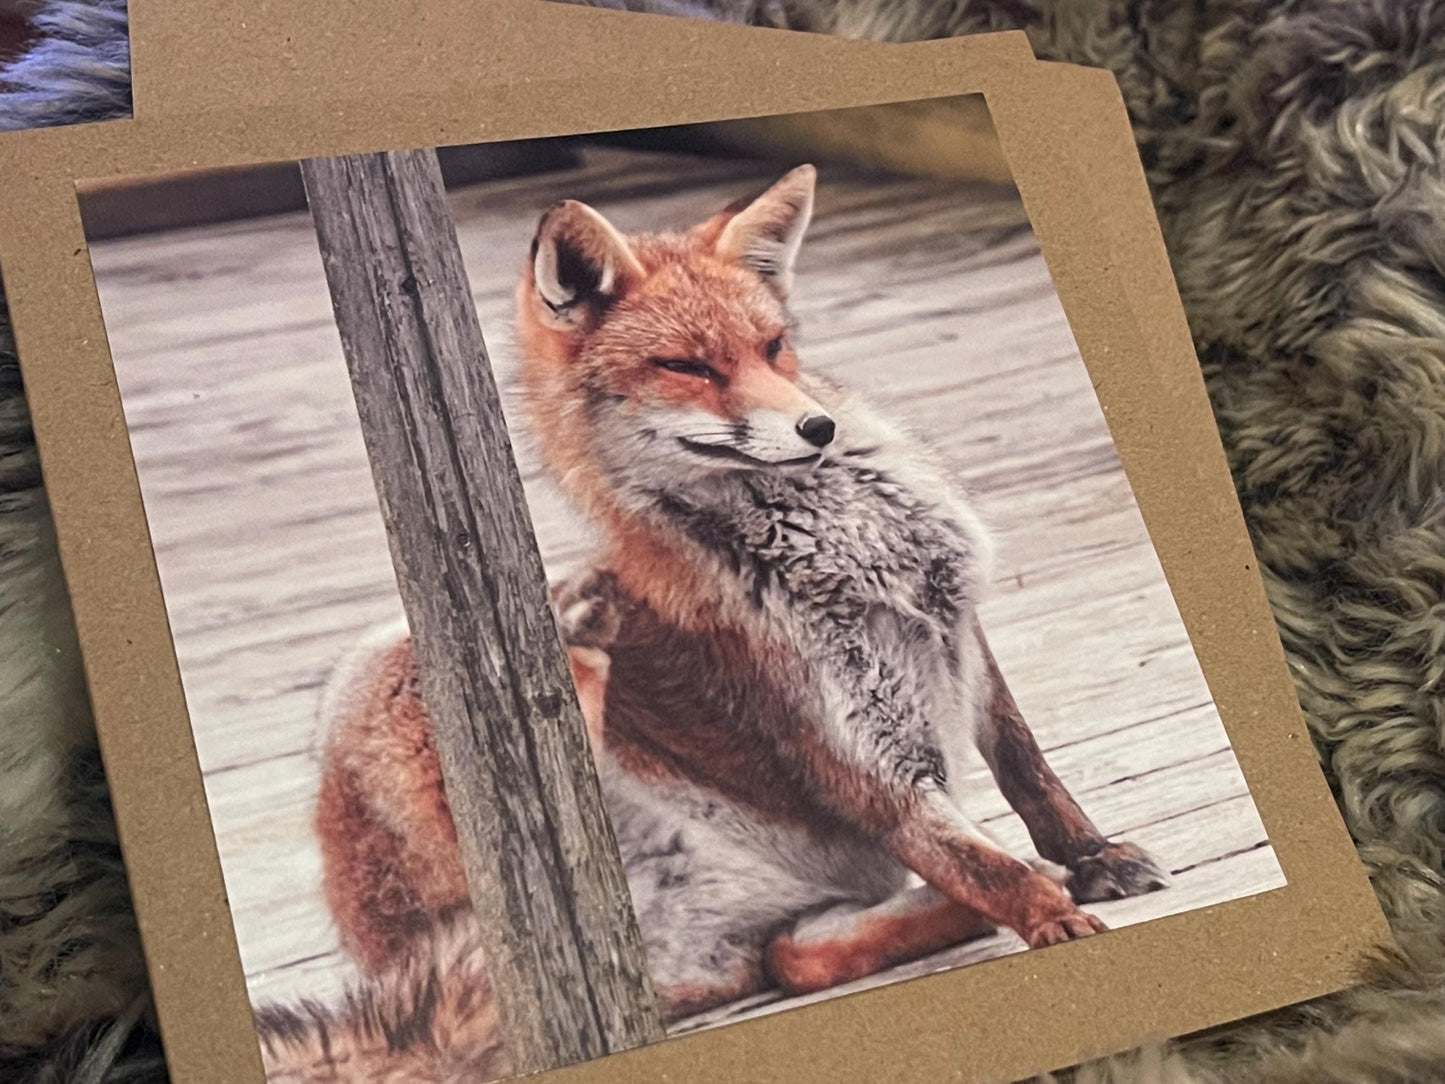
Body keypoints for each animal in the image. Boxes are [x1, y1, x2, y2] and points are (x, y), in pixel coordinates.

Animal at [313, 164, 1170, 1023]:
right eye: (688, 367)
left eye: (772, 347)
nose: (818, 429)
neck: (857, 554)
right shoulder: (862, 762)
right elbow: (989, 866)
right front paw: (1057, 923)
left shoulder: (956, 628)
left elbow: (1027, 770)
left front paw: (1088, 858)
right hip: (385, 666)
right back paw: (574, 636)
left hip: (767, 925)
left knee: (796, 958)